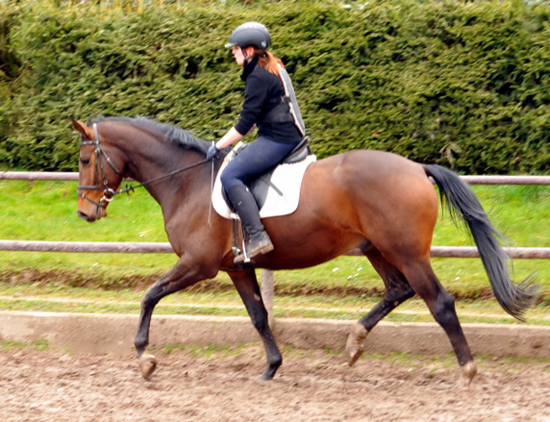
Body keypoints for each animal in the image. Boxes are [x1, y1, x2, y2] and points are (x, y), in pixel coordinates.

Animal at [70, 115, 540, 386]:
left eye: (84, 160)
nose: (84, 211)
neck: (187, 181)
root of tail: (416, 168)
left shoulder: (198, 265)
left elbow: (149, 295)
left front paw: (145, 359)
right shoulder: (236, 268)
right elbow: (259, 316)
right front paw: (272, 367)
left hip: (407, 252)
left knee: (439, 302)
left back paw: (467, 370)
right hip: (378, 249)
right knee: (397, 290)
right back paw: (354, 342)